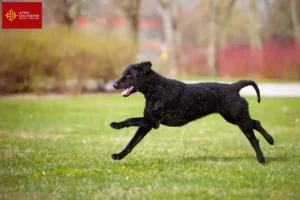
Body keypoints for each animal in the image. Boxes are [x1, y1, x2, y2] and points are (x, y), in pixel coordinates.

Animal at [110, 61, 274, 164]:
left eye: (129, 75)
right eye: (123, 74)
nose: (114, 84)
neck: (156, 88)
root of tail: (234, 86)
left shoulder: (152, 121)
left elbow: (130, 120)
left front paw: (116, 124)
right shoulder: (147, 124)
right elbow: (131, 143)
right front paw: (119, 155)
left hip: (238, 118)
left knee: (254, 139)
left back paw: (261, 160)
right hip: (235, 117)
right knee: (256, 123)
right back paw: (271, 140)